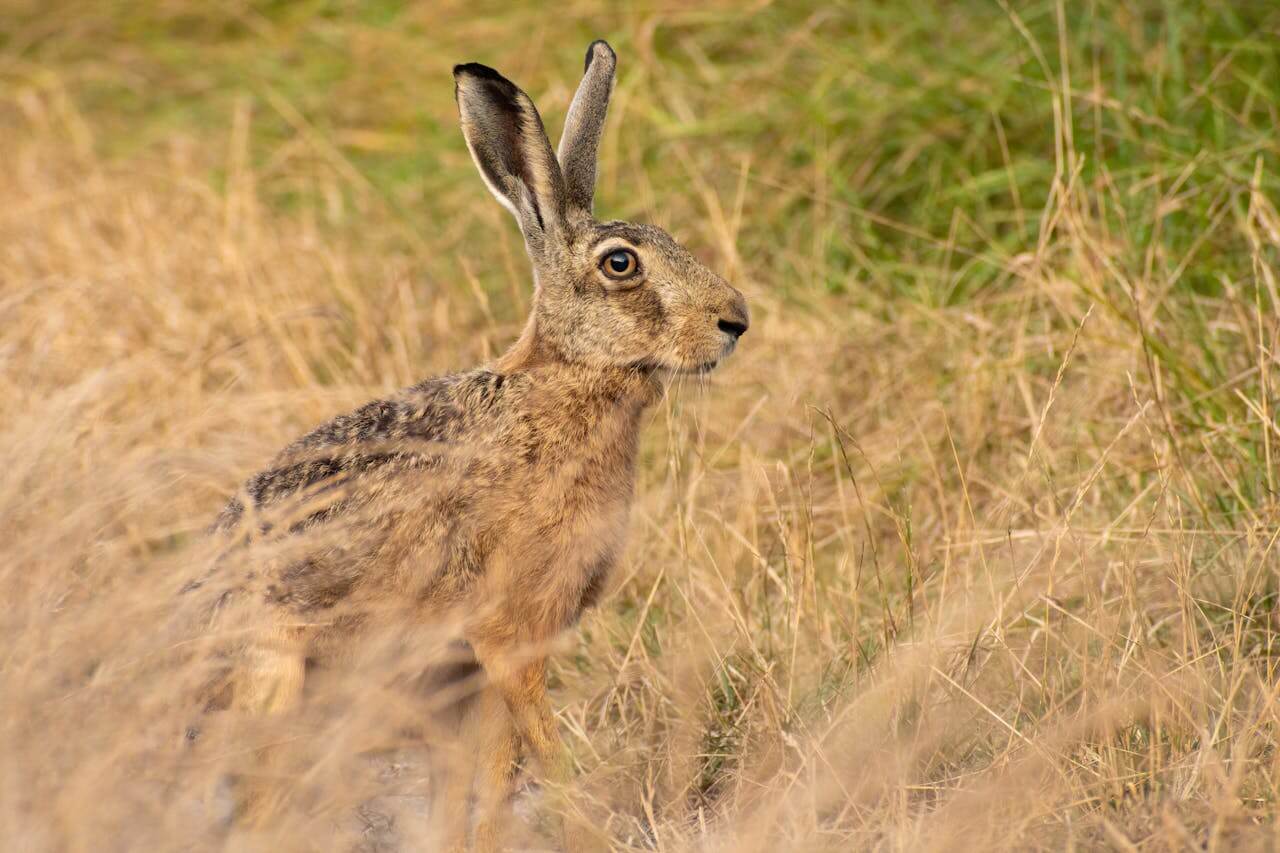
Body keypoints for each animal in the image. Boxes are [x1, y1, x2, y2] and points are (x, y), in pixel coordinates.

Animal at [202, 39, 748, 850]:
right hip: (277, 676)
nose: (735, 320)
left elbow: (493, 778)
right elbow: (546, 754)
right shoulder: (508, 631)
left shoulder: (482, 667)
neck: (568, 381)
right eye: (621, 264)